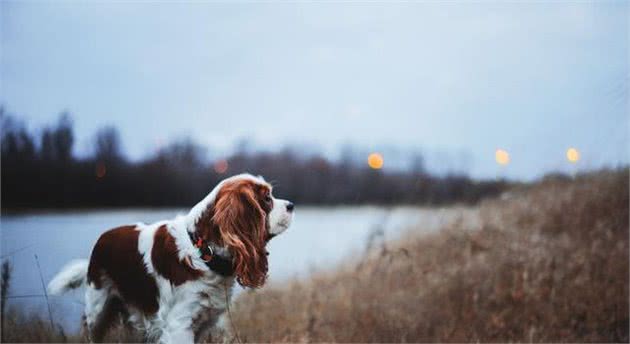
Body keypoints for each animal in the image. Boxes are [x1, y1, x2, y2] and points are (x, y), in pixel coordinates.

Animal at [48, 173, 296, 342]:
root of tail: (102, 239)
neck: (203, 252)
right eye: (266, 199)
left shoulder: (202, 323)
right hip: (98, 310)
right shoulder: (180, 325)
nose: (291, 205)